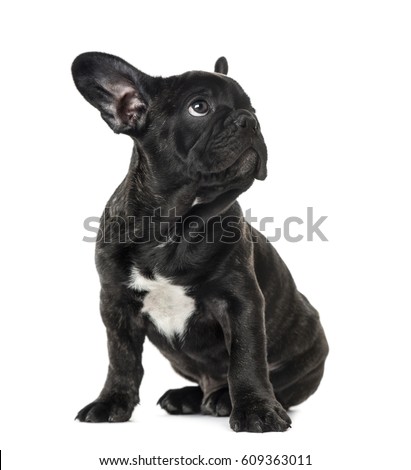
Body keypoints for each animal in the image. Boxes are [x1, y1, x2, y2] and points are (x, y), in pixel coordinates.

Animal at [72, 53, 330, 432]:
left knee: (273, 383)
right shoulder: (116, 303)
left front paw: (256, 410)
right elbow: (121, 359)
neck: (175, 226)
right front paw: (111, 402)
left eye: (253, 108)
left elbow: (247, 357)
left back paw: (226, 398)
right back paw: (190, 397)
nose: (249, 121)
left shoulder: (241, 301)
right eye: (199, 107)